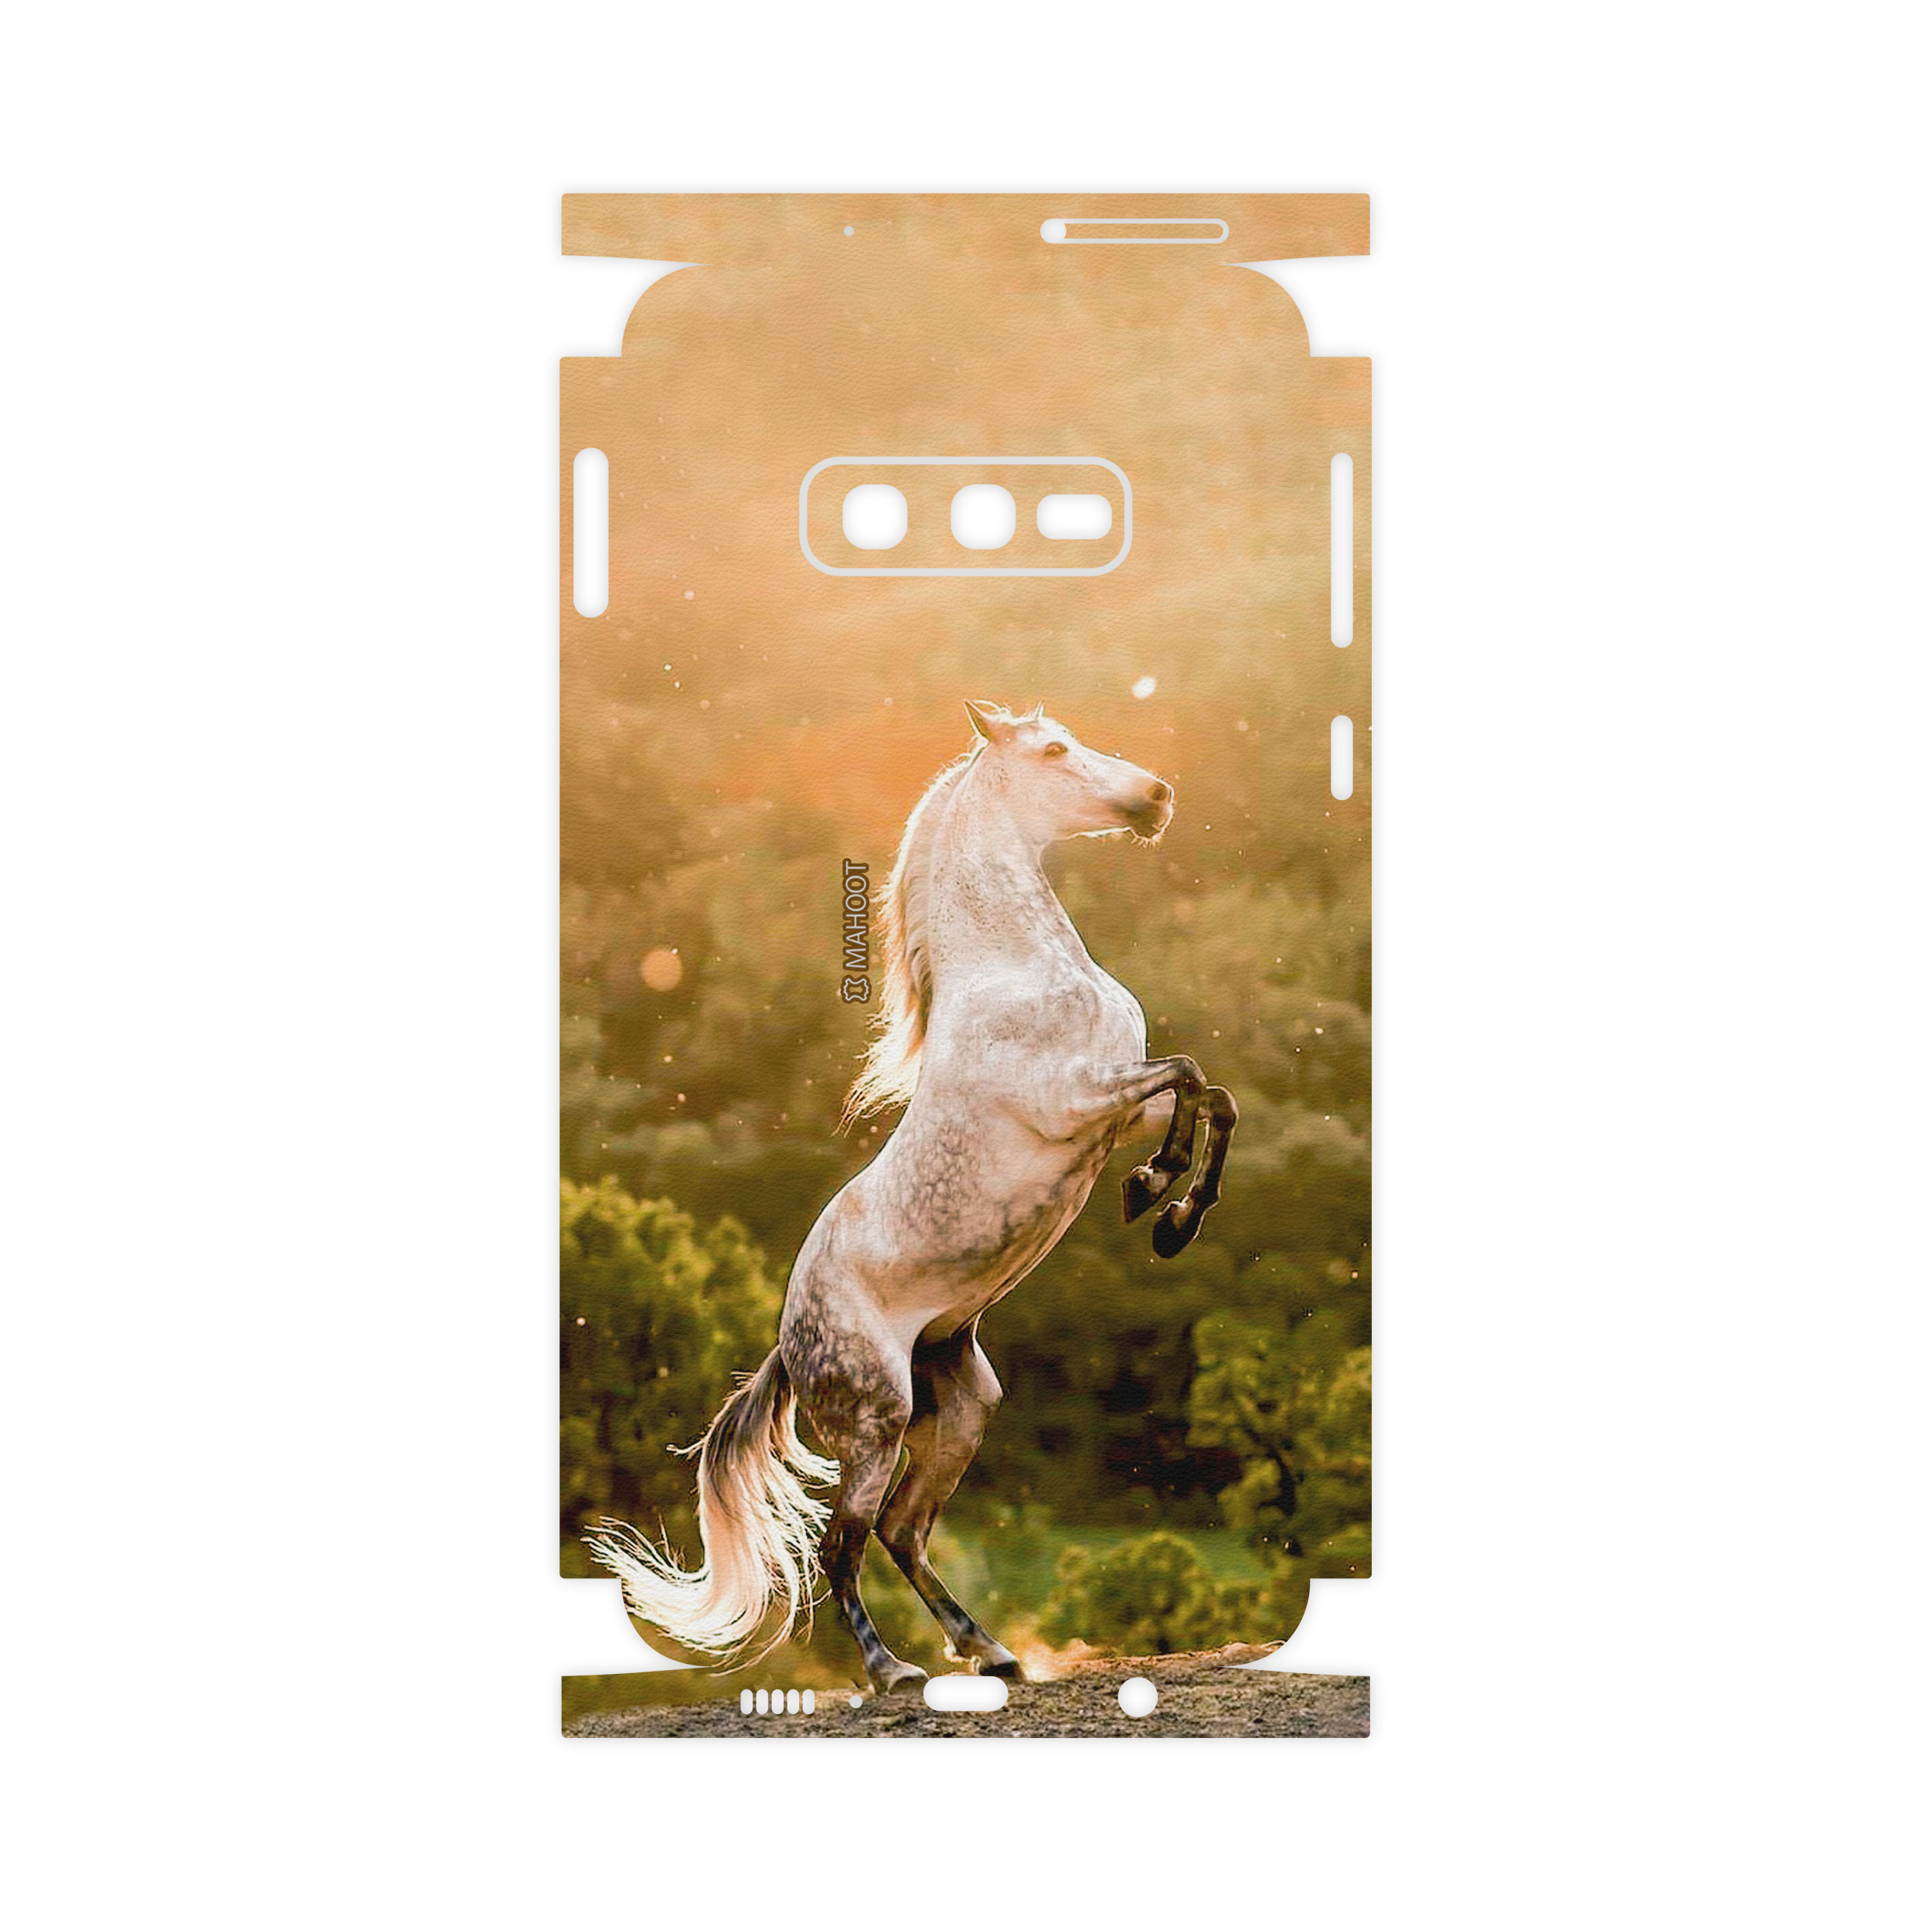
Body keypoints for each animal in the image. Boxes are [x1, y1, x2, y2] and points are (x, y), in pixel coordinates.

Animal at [587, 698, 1238, 1692]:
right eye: (1056, 749)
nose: (1157, 796)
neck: (1019, 969)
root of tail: (787, 1345)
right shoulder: (1079, 1101)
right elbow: (1191, 1073)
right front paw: (1154, 1197)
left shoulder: (1117, 1104)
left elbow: (1213, 1097)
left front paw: (1168, 1214)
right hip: (876, 1416)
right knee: (843, 1543)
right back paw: (890, 1669)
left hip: (962, 1404)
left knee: (900, 1530)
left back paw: (991, 1653)